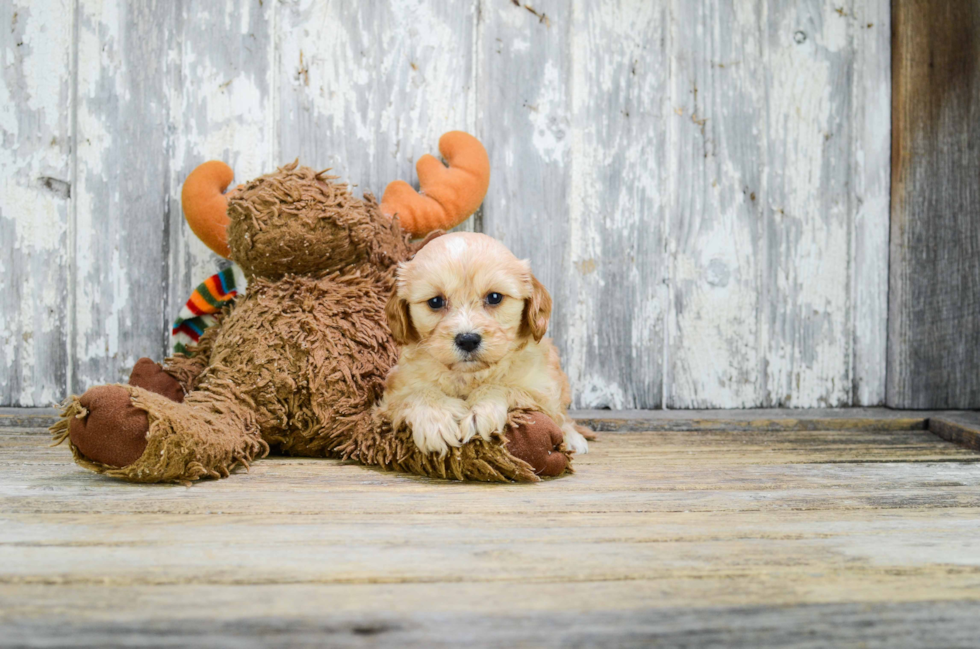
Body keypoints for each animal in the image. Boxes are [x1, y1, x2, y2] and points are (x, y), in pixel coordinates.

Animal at [378, 233, 584, 456]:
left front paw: (481, 410)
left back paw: (573, 438)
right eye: (435, 301)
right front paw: (436, 420)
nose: (467, 339)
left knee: (564, 419)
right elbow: (415, 394)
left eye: (494, 297)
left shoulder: (542, 393)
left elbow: (506, 387)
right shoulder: (391, 396)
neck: (470, 375)